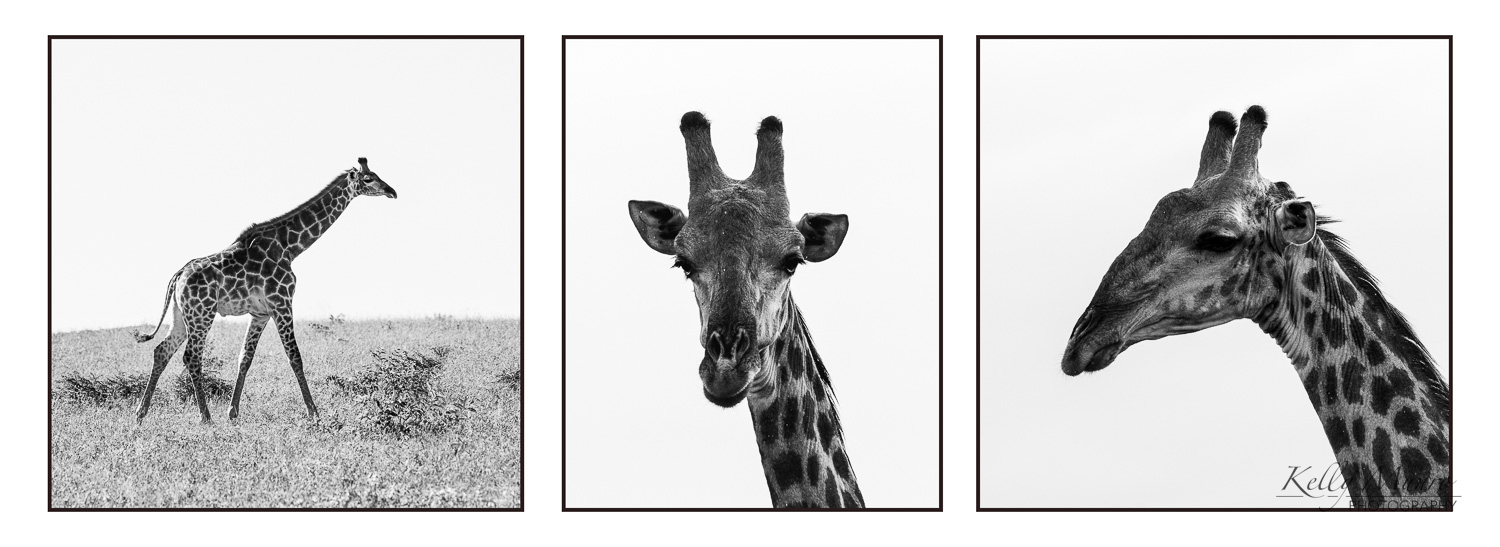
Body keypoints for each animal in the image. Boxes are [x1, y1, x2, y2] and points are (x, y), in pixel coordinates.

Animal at [133, 157, 397, 424]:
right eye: (368, 179)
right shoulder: (282, 302)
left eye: (377, 175)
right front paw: (314, 412)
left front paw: (233, 412)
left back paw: (141, 413)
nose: (392, 192)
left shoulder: (260, 313)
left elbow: (245, 358)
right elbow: (295, 356)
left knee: (162, 350)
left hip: (181, 315)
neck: (291, 247)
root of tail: (177, 277)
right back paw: (205, 417)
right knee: (191, 357)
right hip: (202, 314)